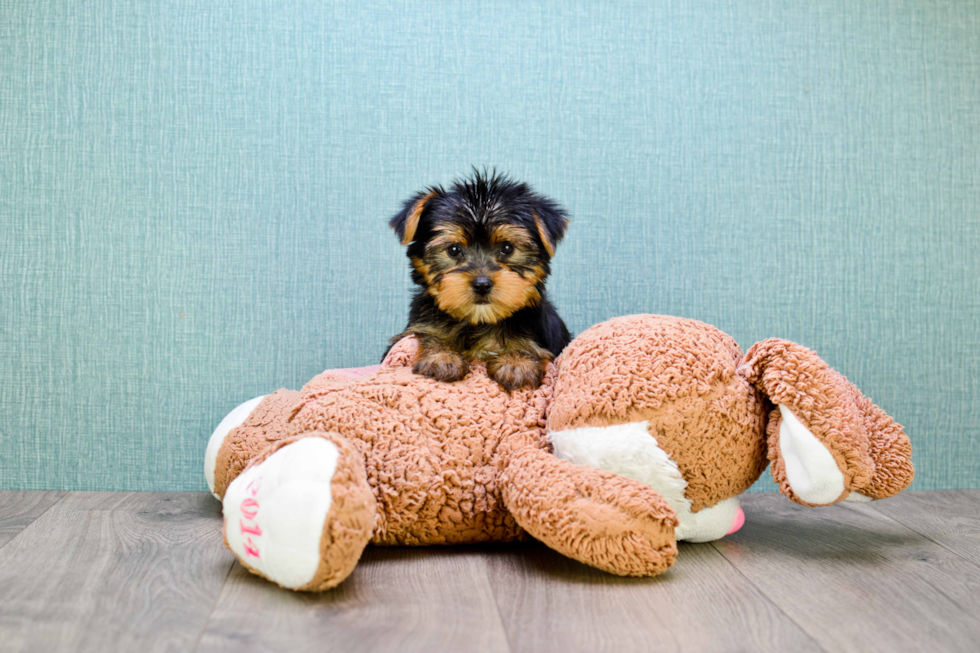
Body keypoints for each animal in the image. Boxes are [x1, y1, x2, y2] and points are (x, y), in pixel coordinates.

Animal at [384, 171, 572, 390]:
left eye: (507, 248)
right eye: (454, 250)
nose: (482, 284)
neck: (479, 321)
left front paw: (516, 360)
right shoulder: (418, 326)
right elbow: (429, 334)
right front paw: (442, 356)